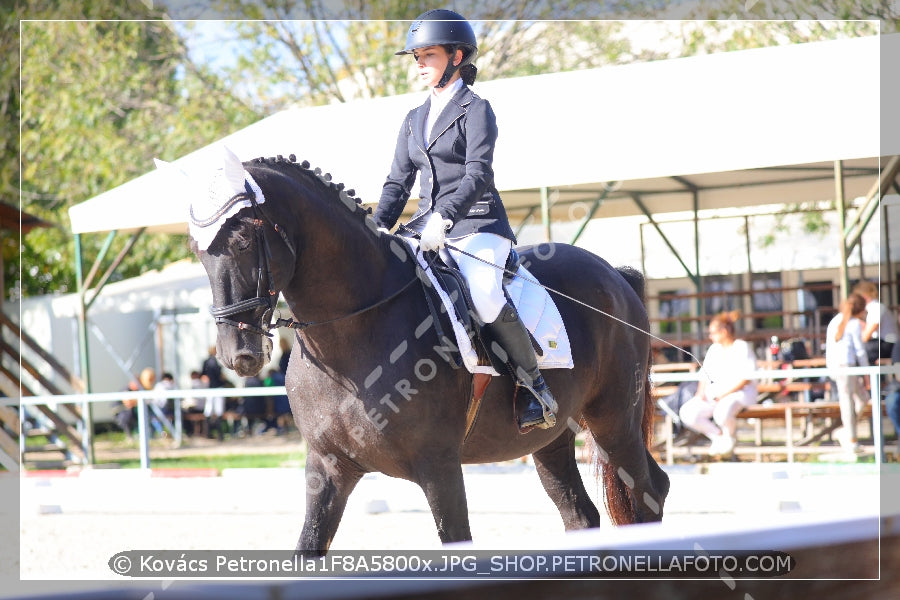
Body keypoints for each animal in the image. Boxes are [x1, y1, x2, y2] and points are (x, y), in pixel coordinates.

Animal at [188, 149, 668, 552]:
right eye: (198, 251)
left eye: (242, 240)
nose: (238, 354)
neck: (354, 330)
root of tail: (616, 275)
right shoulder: (327, 468)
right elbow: (308, 547)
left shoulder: (439, 467)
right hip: (551, 437)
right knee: (579, 513)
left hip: (613, 420)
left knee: (648, 493)